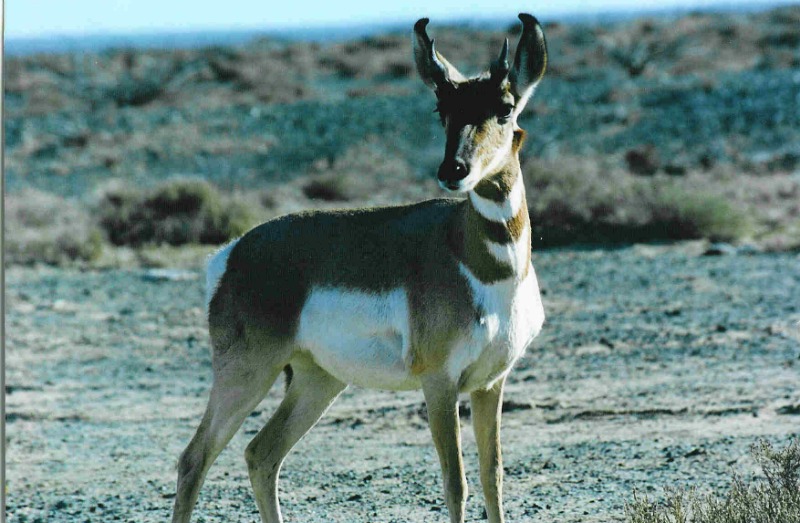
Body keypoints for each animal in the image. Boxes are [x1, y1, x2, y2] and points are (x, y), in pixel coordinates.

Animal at [171, 13, 548, 523]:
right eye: (441, 108)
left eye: (505, 108)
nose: (453, 170)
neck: (478, 262)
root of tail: (231, 254)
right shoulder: (440, 383)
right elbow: (457, 483)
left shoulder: (490, 383)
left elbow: (494, 478)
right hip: (247, 372)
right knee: (196, 457)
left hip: (318, 380)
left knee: (261, 453)